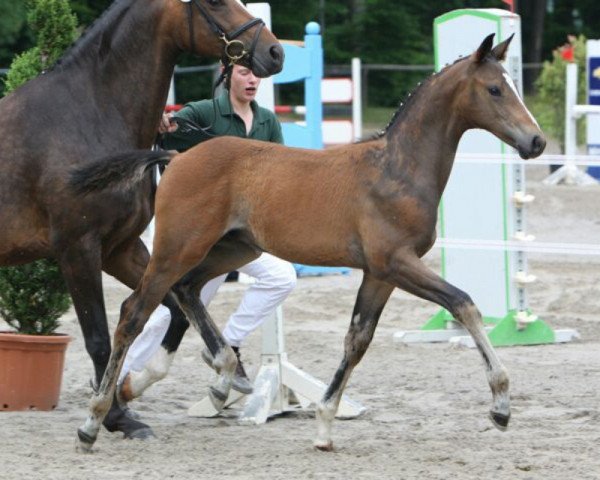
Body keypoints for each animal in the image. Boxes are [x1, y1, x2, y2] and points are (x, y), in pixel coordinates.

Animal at [74, 34, 544, 450]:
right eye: (495, 89)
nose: (536, 141)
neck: (396, 169)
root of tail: (177, 156)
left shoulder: (379, 274)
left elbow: (357, 340)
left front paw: (323, 426)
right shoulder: (396, 262)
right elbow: (464, 304)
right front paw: (501, 405)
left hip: (234, 249)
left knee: (186, 291)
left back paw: (220, 376)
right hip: (177, 248)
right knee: (134, 312)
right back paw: (94, 420)